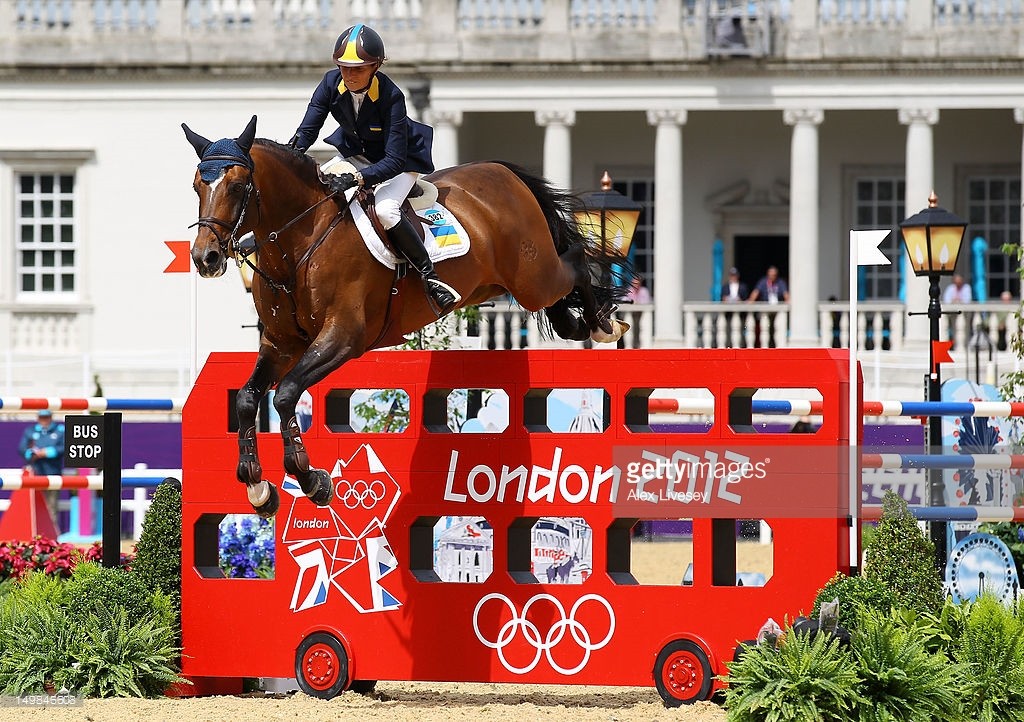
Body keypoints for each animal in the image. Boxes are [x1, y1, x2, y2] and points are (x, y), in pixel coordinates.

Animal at [184, 115, 630, 516]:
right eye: (196, 186)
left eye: (238, 186)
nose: (206, 258)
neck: (300, 242)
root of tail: (502, 172)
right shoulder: (280, 344)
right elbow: (247, 399)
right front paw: (258, 487)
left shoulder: (342, 337)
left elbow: (286, 393)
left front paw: (312, 480)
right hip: (500, 285)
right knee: (561, 294)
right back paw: (578, 322)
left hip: (534, 278)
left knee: (576, 259)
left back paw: (605, 325)